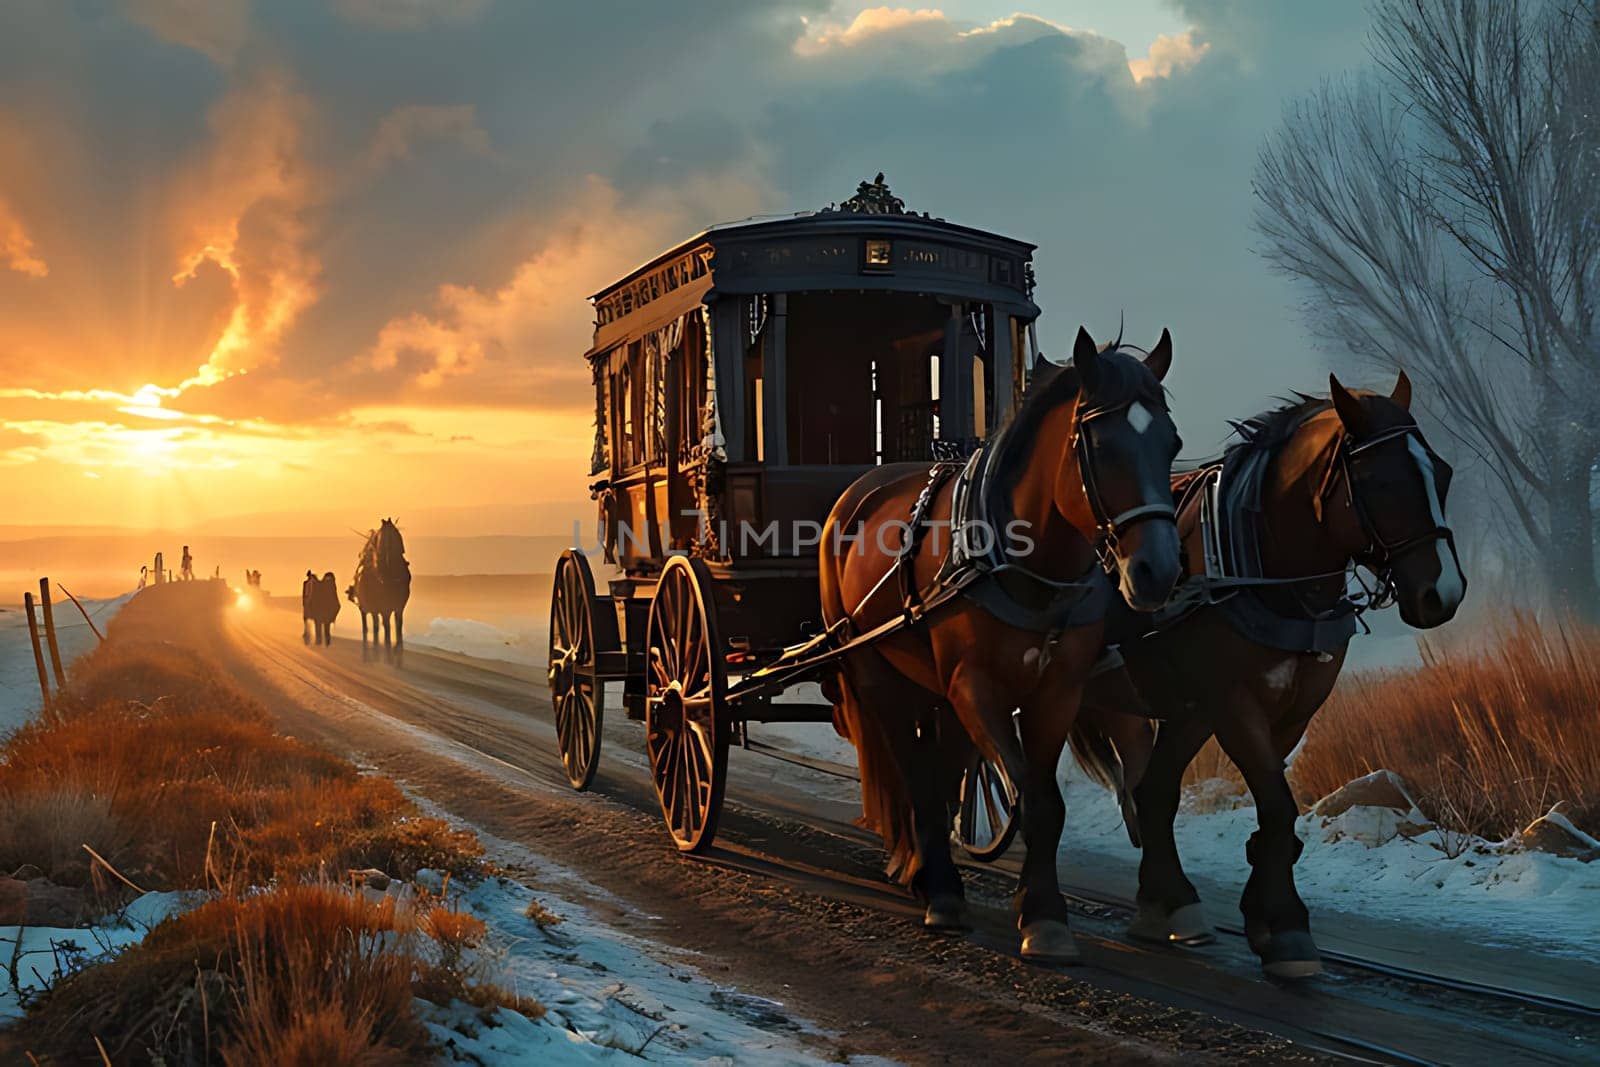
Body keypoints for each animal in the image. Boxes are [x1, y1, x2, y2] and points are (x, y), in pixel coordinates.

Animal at [825, 327, 1190, 966]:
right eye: (1099, 447)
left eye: (1171, 443)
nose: (1158, 572)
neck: (1024, 561)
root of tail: (857, 491)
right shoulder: (975, 687)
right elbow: (1033, 799)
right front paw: (1039, 917)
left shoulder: (1056, 690)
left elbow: (1045, 800)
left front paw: (1041, 913)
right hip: (873, 667)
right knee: (912, 770)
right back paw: (939, 887)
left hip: (931, 685)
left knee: (941, 770)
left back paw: (925, 872)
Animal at [1075, 374, 1465, 979]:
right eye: (1380, 481)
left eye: (1440, 472)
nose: (1441, 594)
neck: (1256, 563)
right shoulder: (1232, 704)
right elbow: (1276, 805)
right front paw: (1283, 924)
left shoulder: (1274, 708)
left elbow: (1257, 804)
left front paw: (1252, 909)